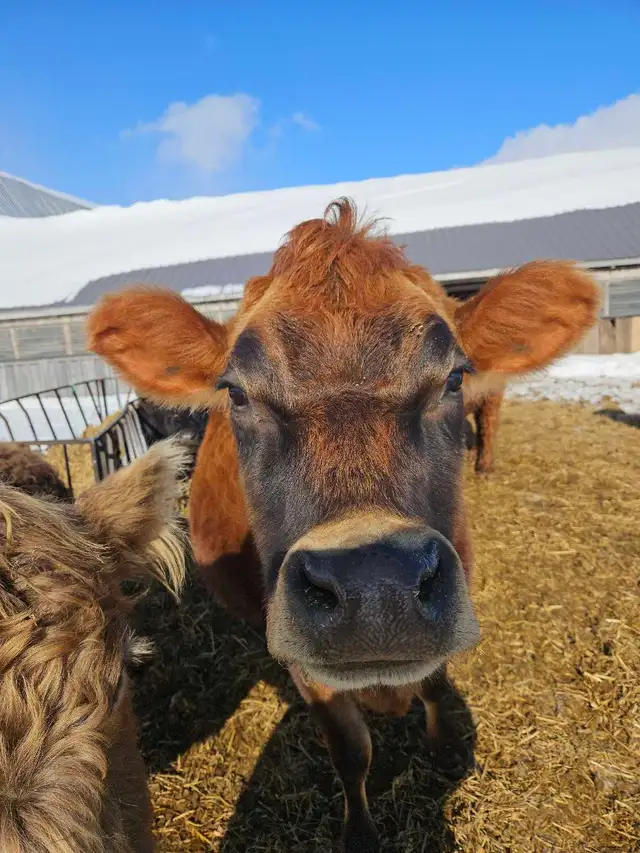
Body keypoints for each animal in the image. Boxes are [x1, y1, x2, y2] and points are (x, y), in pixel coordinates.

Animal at [87, 198, 600, 851]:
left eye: (455, 376)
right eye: (235, 393)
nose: (375, 587)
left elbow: (436, 682)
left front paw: (445, 748)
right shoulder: (307, 667)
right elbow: (352, 750)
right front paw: (360, 831)